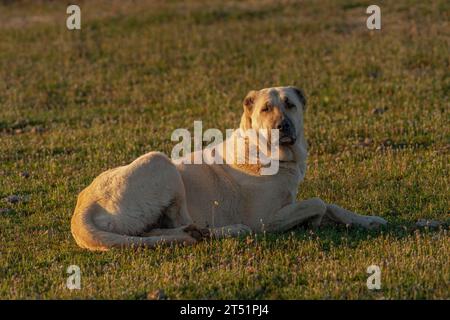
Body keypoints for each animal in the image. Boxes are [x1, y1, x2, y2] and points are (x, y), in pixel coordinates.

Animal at [70, 86, 386, 251]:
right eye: (265, 109)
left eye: (290, 104)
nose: (282, 126)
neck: (268, 153)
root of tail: (82, 207)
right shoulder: (264, 221)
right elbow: (319, 203)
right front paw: (314, 221)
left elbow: (332, 205)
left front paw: (368, 220)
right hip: (161, 162)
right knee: (180, 222)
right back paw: (219, 230)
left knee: (154, 232)